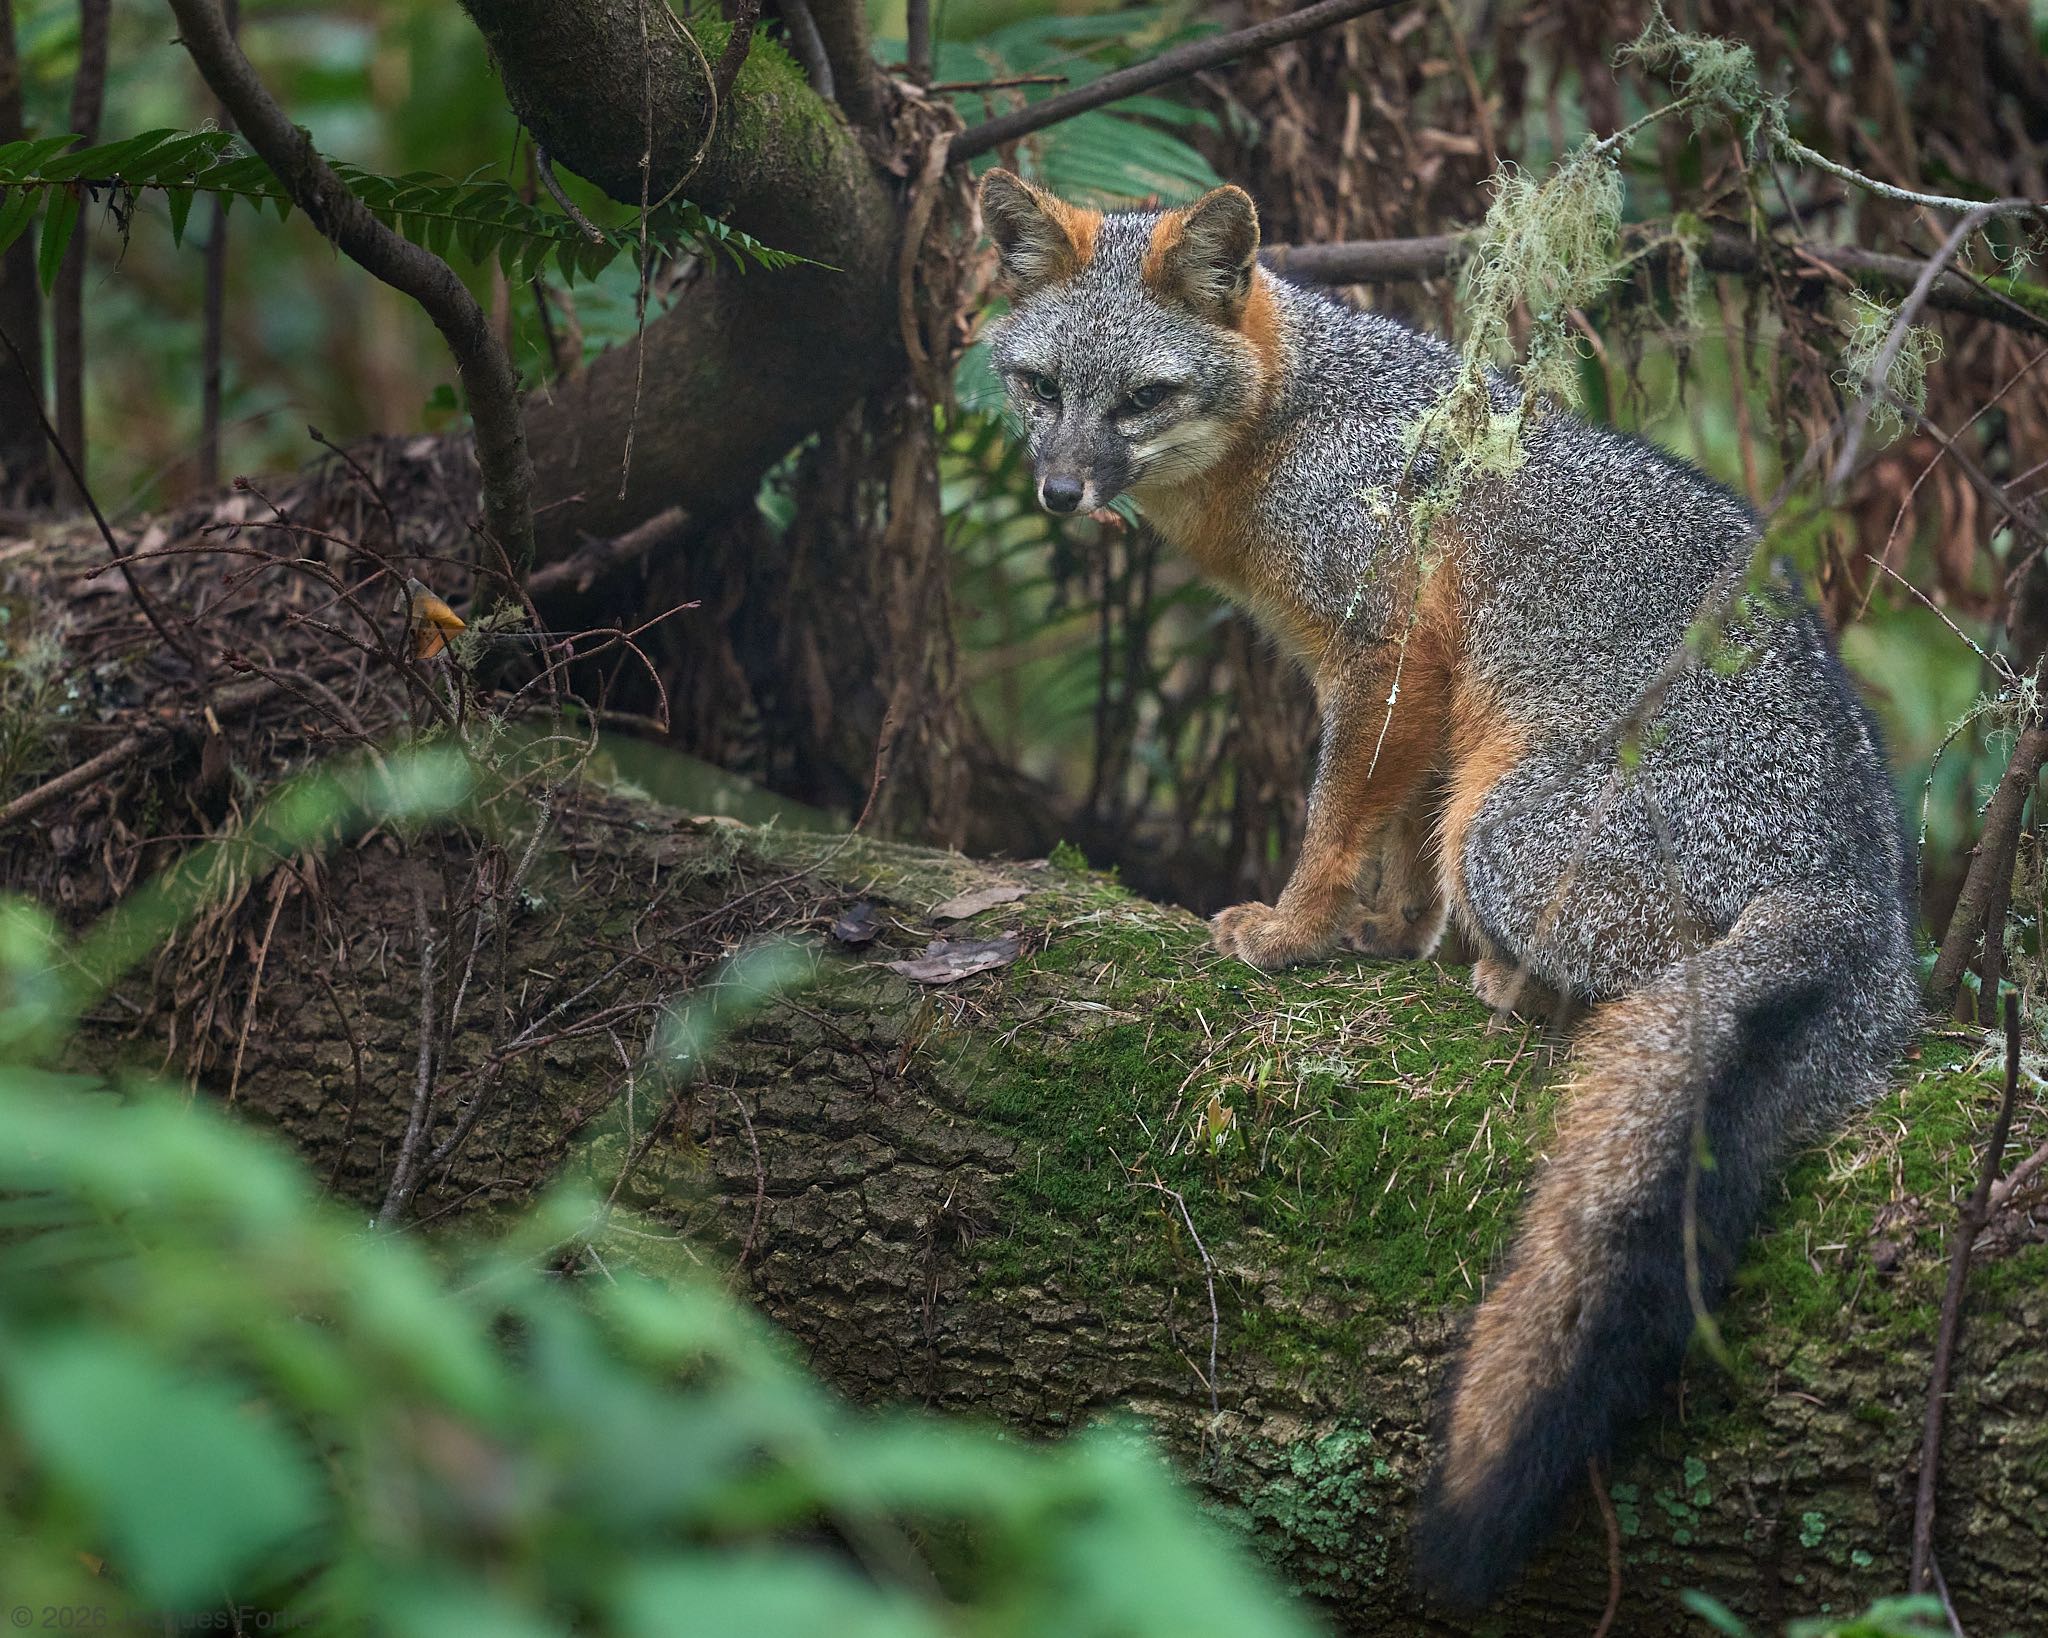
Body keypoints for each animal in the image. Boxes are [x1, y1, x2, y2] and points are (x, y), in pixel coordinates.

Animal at [975, 169, 1923, 1607]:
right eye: (1040, 387)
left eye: (1137, 397)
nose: (1060, 487)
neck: (1305, 417)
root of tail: (1864, 893)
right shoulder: (1398, 685)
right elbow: (1388, 831)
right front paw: (1378, 931)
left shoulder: (1384, 646)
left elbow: (1337, 813)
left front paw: (1294, 930)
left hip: (1512, 831)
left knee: (1630, 974)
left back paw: (1521, 987)